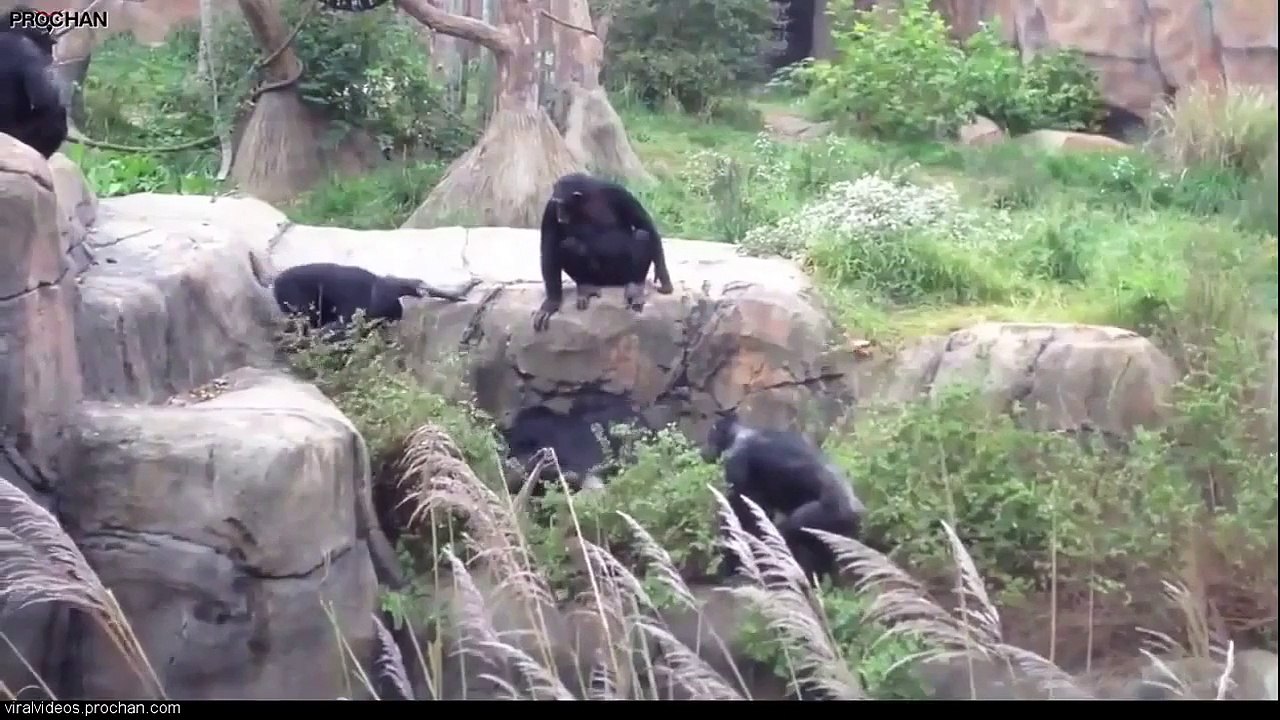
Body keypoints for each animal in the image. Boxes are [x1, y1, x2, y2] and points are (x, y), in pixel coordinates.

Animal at [532, 173, 675, 332]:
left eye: (562, 204)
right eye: (557, 203)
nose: (559, 214)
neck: (584, 203)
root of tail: (609, 283)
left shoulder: (621, 194)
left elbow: (645, 224)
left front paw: (663, 277)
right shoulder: (550, 209)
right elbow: (548, 248)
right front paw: (551, 303)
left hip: (621, 276)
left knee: (642, 235)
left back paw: (635, 288)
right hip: (598, 277)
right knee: (568, 244)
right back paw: (586, 286)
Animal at [702, 411, 867, 583]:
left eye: (710, 435)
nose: (703, 450)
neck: (739, 434)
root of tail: (855, 509)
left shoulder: (736, 462)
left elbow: (742, 513)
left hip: (821, 515)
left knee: (788, 534)